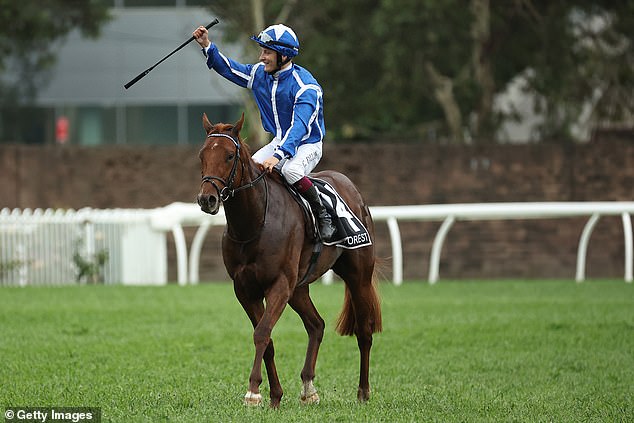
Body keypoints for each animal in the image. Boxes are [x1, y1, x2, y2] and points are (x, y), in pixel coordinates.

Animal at [195, 114, 380, 410]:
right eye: (202, 155)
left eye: (228, 156)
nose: (207, 199)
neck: (255, 222)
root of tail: (349, 185)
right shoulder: (245, 290)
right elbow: (267, 338)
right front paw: (274, 396)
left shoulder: (279, 284)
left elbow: (262, 332)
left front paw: (253, 392)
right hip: (299, 288)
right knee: (316, 325)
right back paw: (308, 388)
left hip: (358, 275)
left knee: (364, 331)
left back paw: (363, 392)